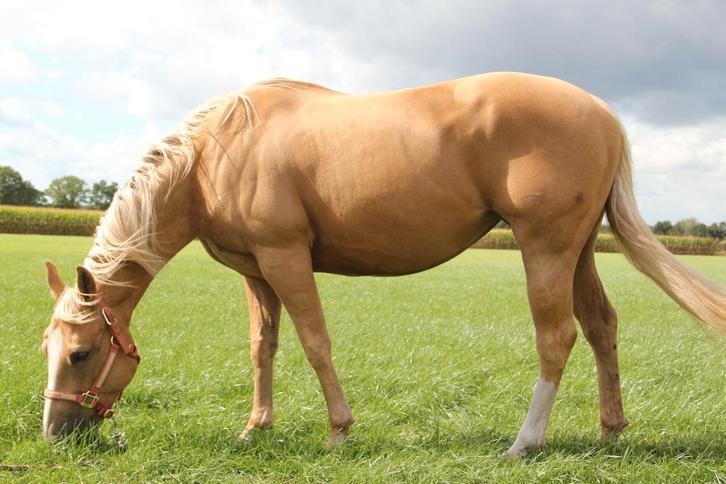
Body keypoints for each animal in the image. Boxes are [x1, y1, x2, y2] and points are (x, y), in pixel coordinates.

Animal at [40, 72, 726, 457]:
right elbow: (263, 346)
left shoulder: (285, 257)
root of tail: (604, 112)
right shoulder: (255, 271)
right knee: (602, 326)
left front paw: (339, 431)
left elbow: (314, 341)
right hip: (579, 249)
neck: (215, 155)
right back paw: (610, 429)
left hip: (546, 248)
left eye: (80, 352)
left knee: (556, 336)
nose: (55, 433)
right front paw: (255, 429)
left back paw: (524, 443)